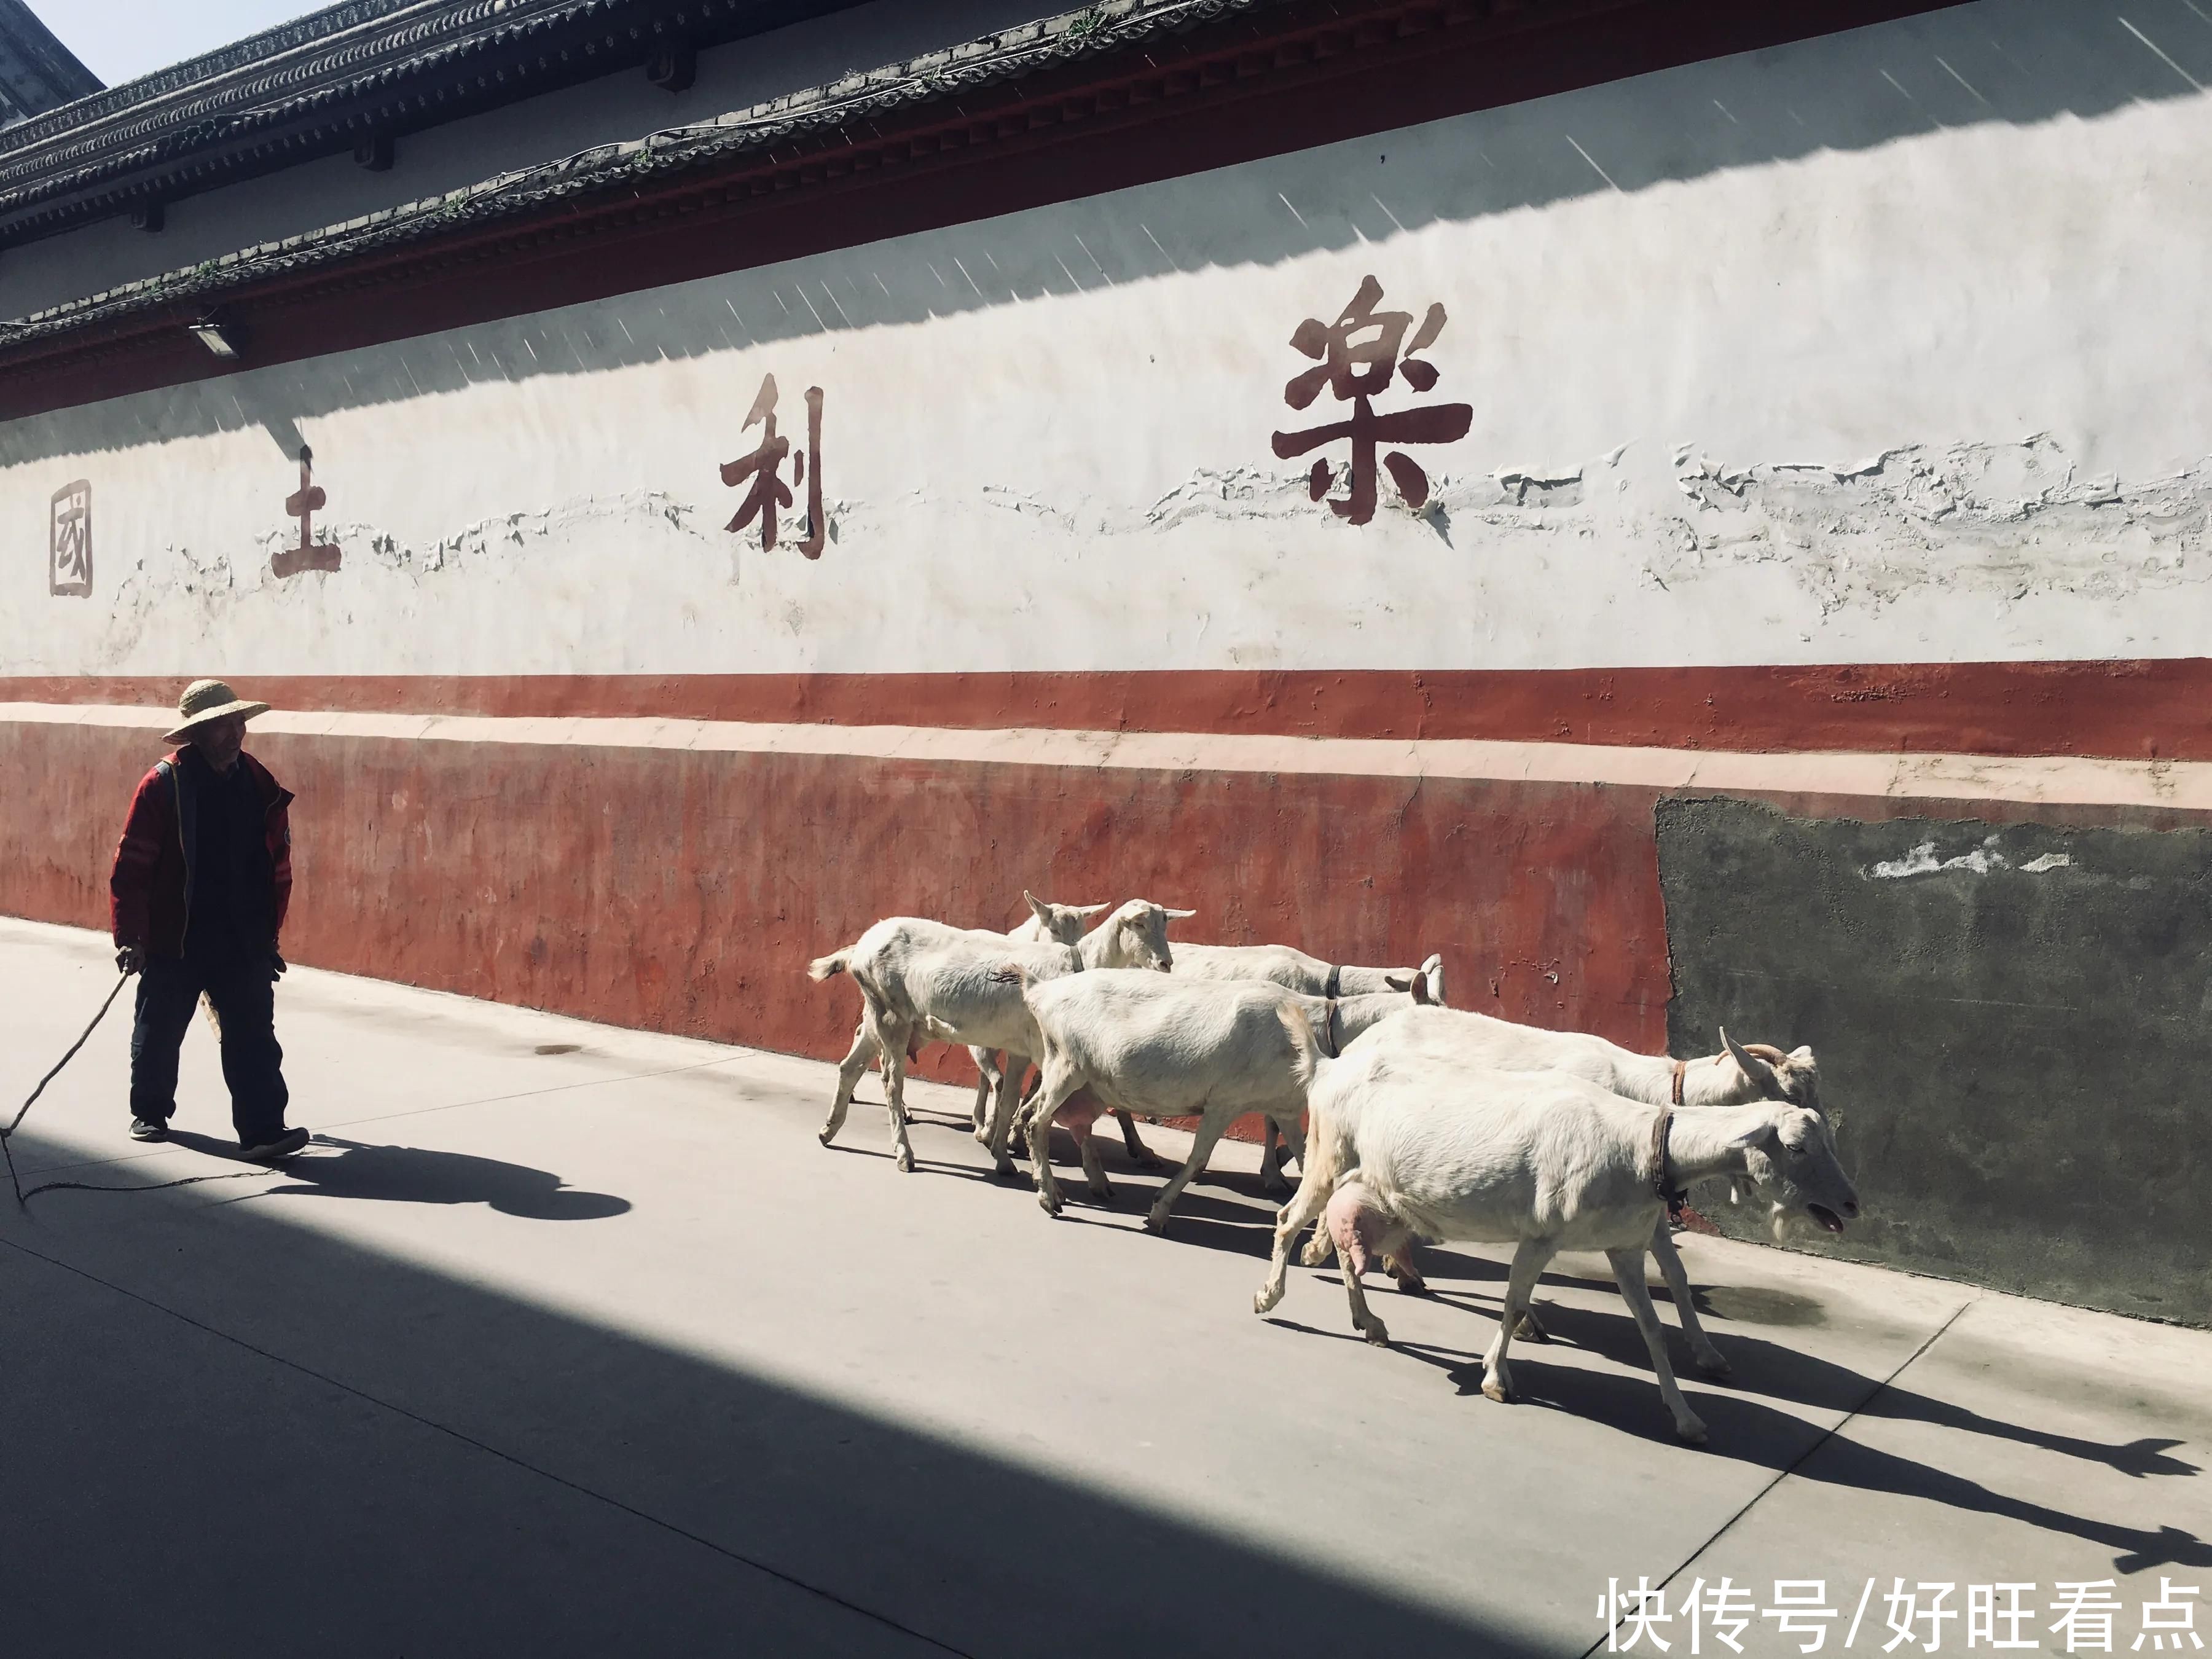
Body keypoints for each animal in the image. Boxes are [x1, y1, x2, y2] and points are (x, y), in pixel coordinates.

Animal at [814, 911, 1194, 1167]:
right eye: (1139, 924)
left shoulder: (1024, 1048)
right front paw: (1014, 1142)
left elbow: (1012, 1096)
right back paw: (904, 1153)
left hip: (879, 1014)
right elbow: (1041, 1100)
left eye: (1166, 924)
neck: (1075, 965)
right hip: (891, 1015)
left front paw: (1003, 1151)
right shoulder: (1050, 1050)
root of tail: (862, 945)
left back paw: (829, 1131)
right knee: (892, 1083)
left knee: (850, 1067)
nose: (1165, 963)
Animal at [1256, 1013, 1858, 1442]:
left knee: (1348, 1229)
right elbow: (1518, 1298)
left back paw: (1376, 1299)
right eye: (1795, 1136)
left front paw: (1701, 1373)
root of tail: (1333, 1062)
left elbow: (1669, 1293)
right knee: (1290, 1218)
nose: (1851, 1204)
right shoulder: (1552, 1229)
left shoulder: (1635, 1229)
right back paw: (1278, 1291)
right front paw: (1503, 1367)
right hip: (1331, 1152)